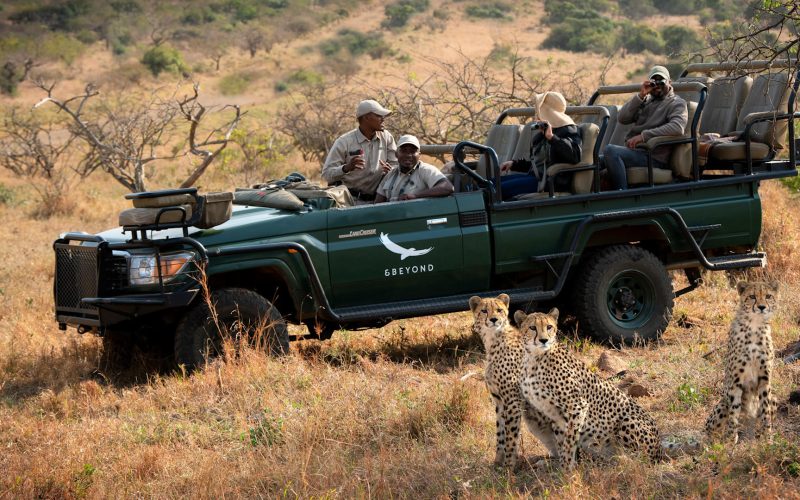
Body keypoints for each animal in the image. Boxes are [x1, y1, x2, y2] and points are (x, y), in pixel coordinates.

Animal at [469, 294, 559, 468]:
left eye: (499, 310)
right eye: (484, 310)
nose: (494, 319)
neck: (494, 340)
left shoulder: (512, 400)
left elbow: (511, 435)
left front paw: (509, 466)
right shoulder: (499, 401)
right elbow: (500, 432)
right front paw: (498, 462)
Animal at [516, 308, 662, 470]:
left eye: (549, 327)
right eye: (532, 328)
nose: (544, 340)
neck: (535, 358)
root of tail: (659, 449)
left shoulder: (577, 406)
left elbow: (569, 440)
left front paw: (567, 467)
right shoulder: (555, 413)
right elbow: (561, 441)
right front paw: (562, 465)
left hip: (628, 421)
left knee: (641, 461)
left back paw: (619, 460)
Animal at [705, 280, 778, 443]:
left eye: (768, 296)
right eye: (752, 296)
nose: (761, 307)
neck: (755, 326)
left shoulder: (765, 379)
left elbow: (765, 411)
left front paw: (768, 437)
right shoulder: (735, 381)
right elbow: (734, 412)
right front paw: (731, 440)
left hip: (774, 399)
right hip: (721, 405)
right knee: (709, 430)